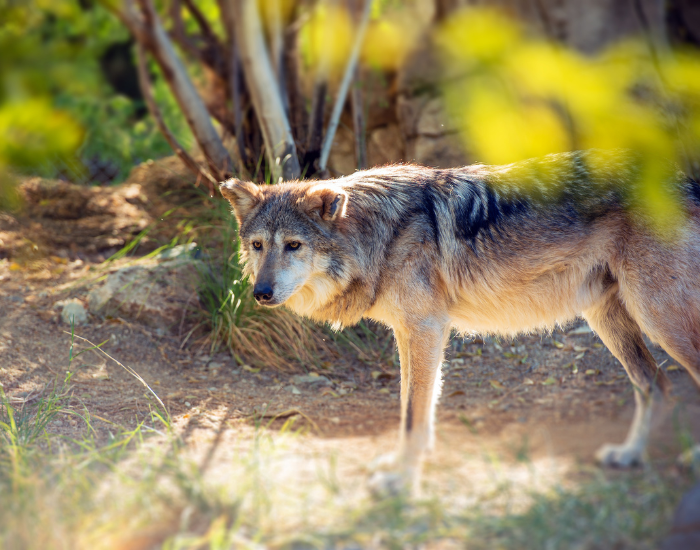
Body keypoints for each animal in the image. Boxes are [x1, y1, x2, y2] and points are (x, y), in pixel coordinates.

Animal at [220, 150, 700, 494]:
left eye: (294, 245)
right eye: (258, 245)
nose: (261, 293)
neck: (381, 236)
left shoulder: (426, 329)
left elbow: (413, 414)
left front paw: (400, 481)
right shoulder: (410, 333)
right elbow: (411, 407)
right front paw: (403, 465)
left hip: (658, 318)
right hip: (610, 320)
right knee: (656, 383)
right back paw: (629, 454)